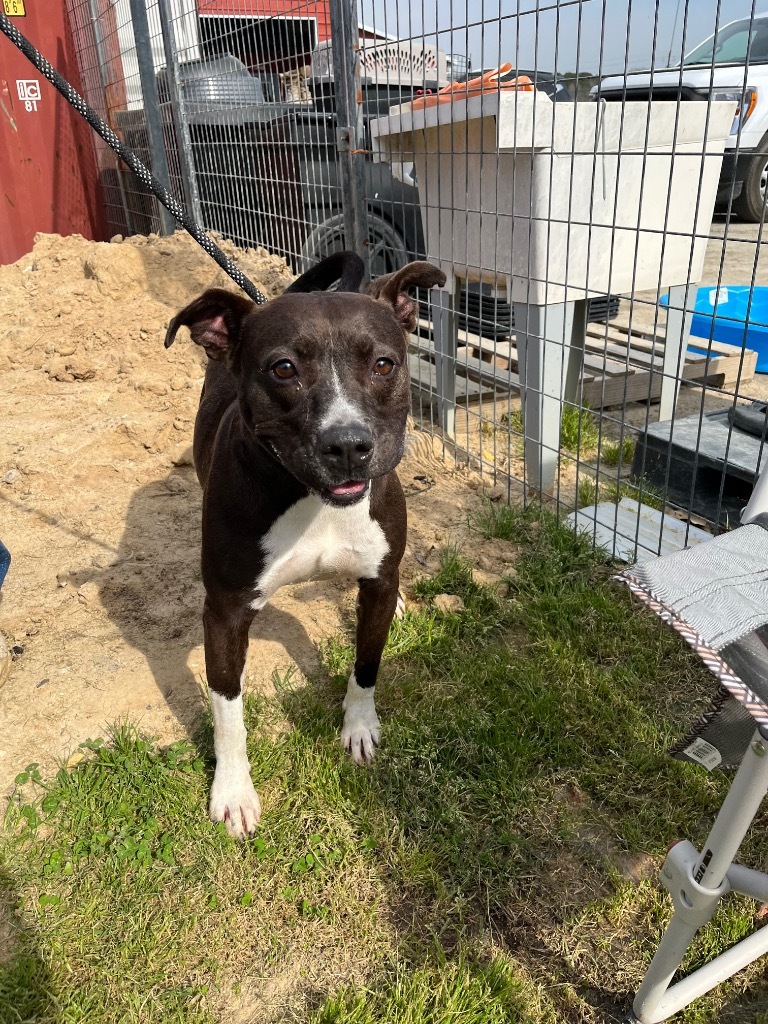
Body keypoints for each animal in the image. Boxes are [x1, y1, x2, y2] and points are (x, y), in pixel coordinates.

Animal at [165, 251, 448, 835]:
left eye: (383, 364)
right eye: (283, 369)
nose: (348, 445)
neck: (314, 502)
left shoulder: (376, 581)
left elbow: (367, 662)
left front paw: (359, 728)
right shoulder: (225, 613)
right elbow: (228, 708)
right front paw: (233, 790)